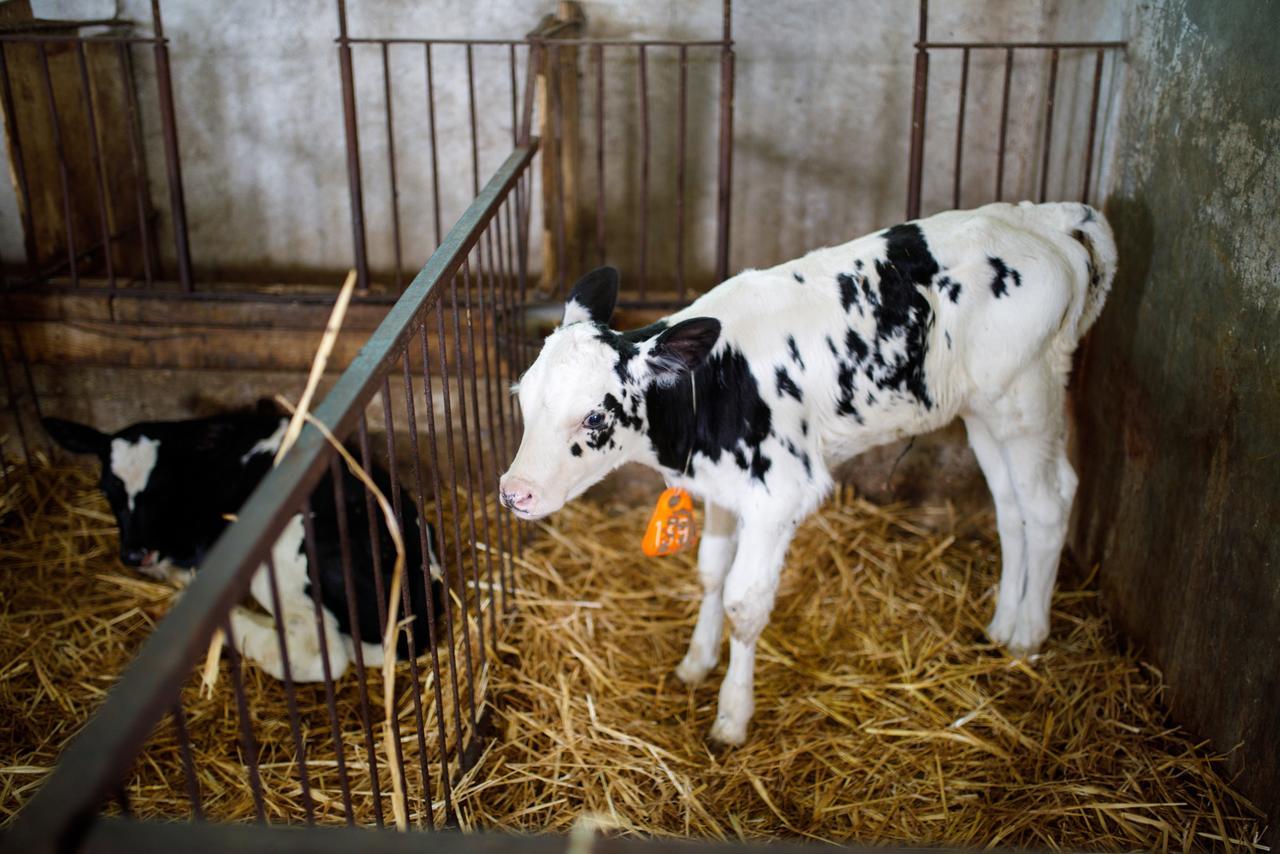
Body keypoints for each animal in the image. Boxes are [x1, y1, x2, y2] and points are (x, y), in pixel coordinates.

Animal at [496, 203, 1111, 742]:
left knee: (1050, 502)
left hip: (1027, 396)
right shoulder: (722, 488)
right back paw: (1003, 623)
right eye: (521, 397)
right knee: (1010, 507)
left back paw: (1028, 635)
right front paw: (696, 662)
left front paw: (732, 715)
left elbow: (744, 602)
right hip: (982, 410)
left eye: (595, 416)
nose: (514, 493)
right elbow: (711, 572)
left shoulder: (778, 495)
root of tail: (1041, 216)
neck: (710, 391)